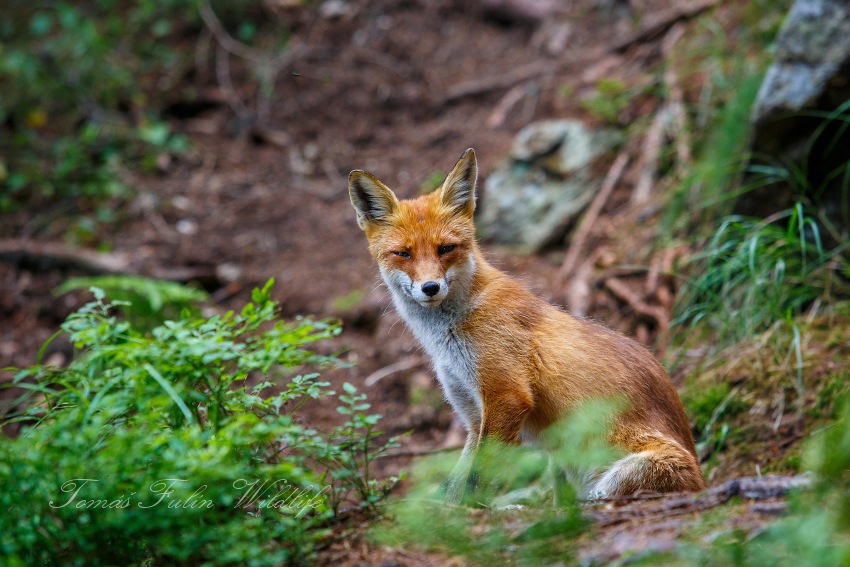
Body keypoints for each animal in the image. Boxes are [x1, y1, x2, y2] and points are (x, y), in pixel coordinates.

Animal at [348, 148, 704, 501]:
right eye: (403, 254)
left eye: (446, 248)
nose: (431, 287)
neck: (447, 336)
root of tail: (702, 479)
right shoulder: (472, 413)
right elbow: (455, 481)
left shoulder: (507, 396)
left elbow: (477, 477)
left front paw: (473, 509)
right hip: (562, 468)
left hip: (620, 478)